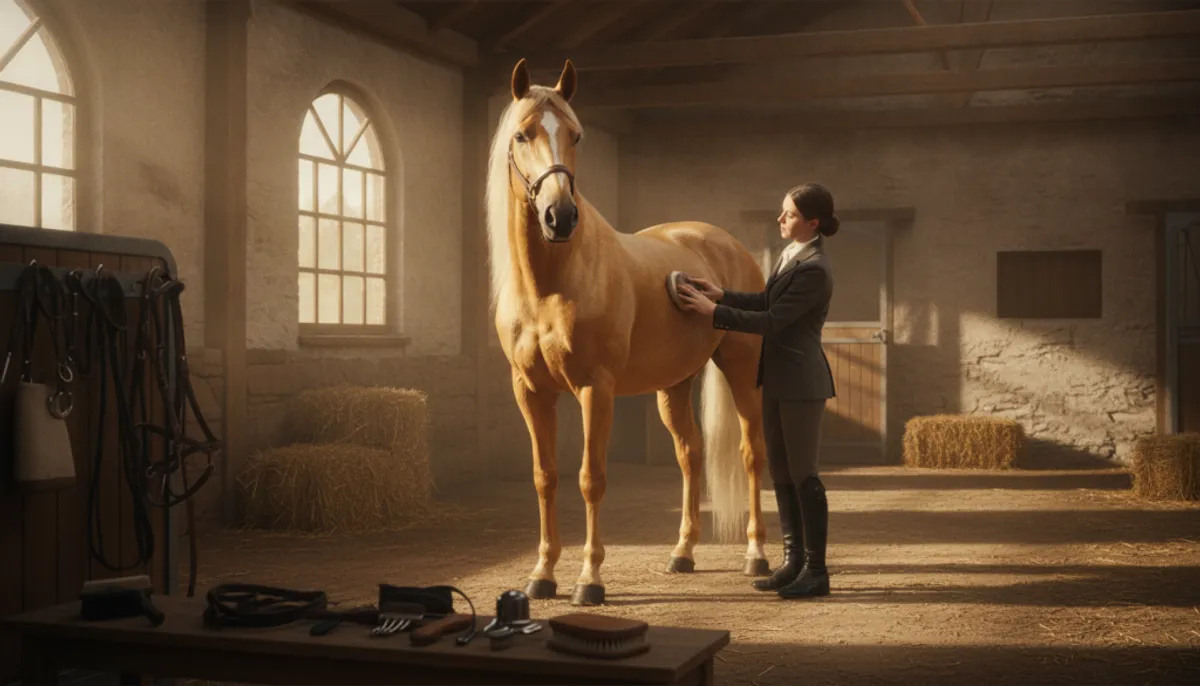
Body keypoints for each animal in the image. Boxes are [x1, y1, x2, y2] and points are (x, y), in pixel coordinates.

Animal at [487, 58, 771, 606]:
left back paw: (756, 555)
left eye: (576, 135)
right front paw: (542, 574)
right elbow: (545, 477)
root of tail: (725, 243)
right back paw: (682, 553)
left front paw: (589, 580)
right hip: (673, 386)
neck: (551, 285)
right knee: (690, 455)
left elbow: (590, 479)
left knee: (751, 454)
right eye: (521, 135)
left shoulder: (596, 388)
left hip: (741, 370)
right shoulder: (529, 390)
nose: (560, 216)